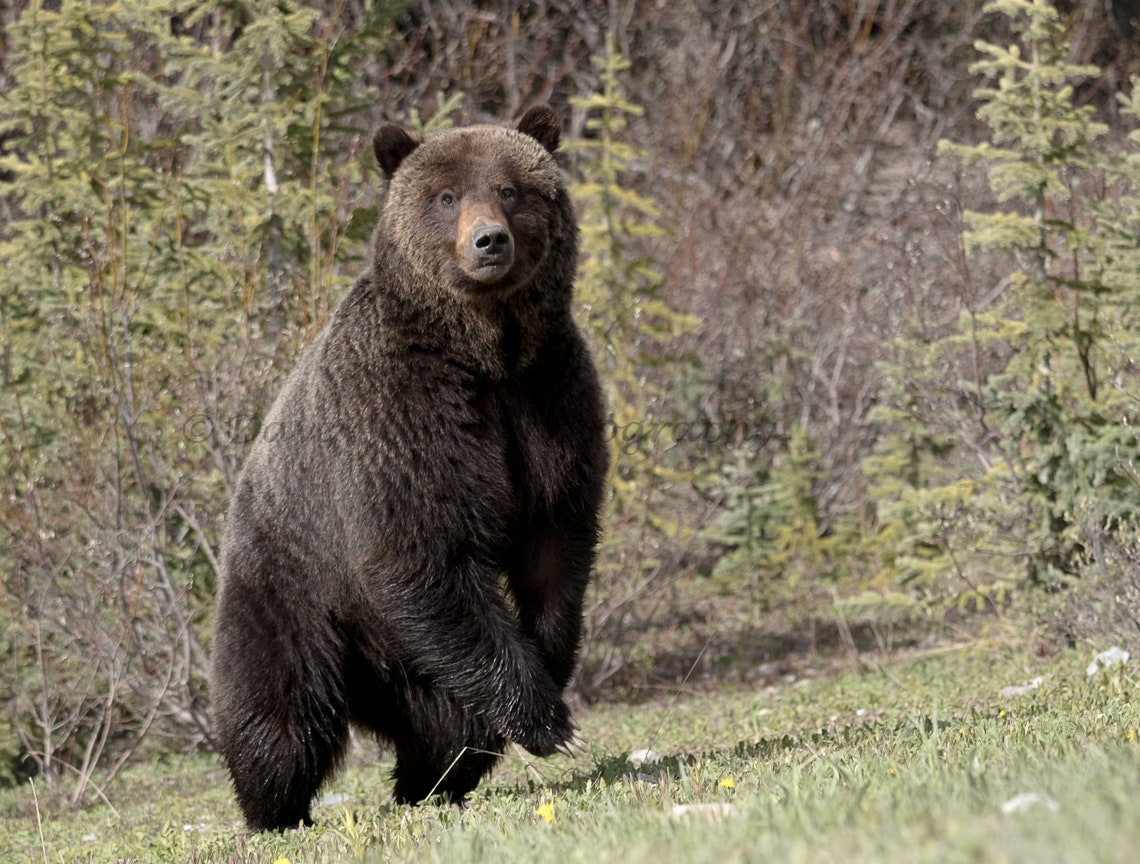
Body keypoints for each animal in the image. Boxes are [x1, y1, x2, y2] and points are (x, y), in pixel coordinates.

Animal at [209, 105, 609, 832]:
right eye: (446, 196)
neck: (486, 353)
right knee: (278, 707)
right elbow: (422, 551)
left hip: (402, 661)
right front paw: (547, 721)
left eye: (511, 189)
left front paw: (549, 671)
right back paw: (275, 808)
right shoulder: (402, 413)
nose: (488, 241)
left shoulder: (548, 398)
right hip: (293, 585)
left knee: (446, 719)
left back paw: (430, 777)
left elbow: (555, 542)